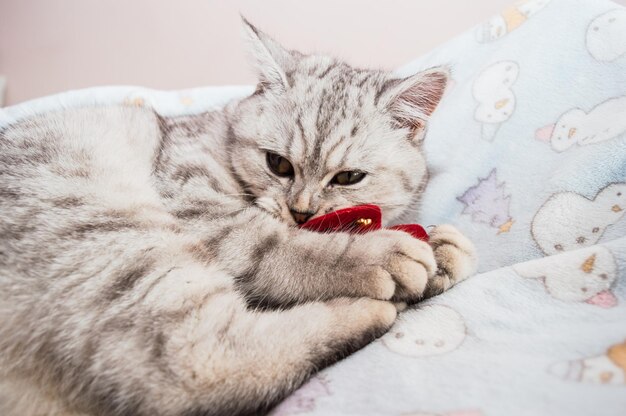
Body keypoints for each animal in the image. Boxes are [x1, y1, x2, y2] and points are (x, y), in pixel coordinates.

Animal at [0, 19, 472, 416]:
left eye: (348, 177)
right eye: (278, 164)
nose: (301, 210)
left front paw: (441, 247)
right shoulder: (199, 202)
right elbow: (283, 248)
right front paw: (382, 254)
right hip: (114, 233)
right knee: (194, 371)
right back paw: (371, 309)